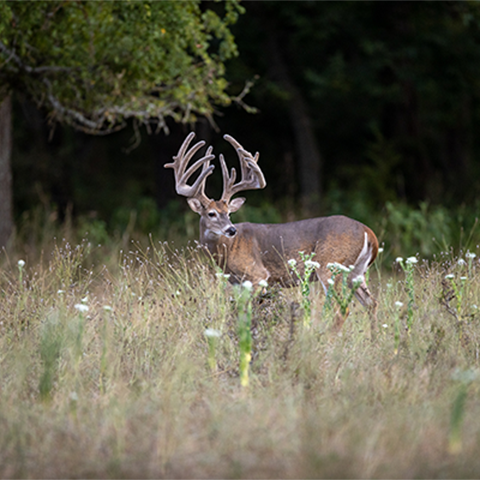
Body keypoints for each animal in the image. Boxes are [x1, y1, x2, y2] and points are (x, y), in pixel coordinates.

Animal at [165, 131, 378, 326]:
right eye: (211, 214)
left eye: (228, 213)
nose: (231, 230)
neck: (228, 250)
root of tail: (370, 234)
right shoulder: (237, 283)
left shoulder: (257, 275)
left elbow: (248, 313)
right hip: (356, 272)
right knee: (372, 304)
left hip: (330, 265)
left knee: (341, 309)